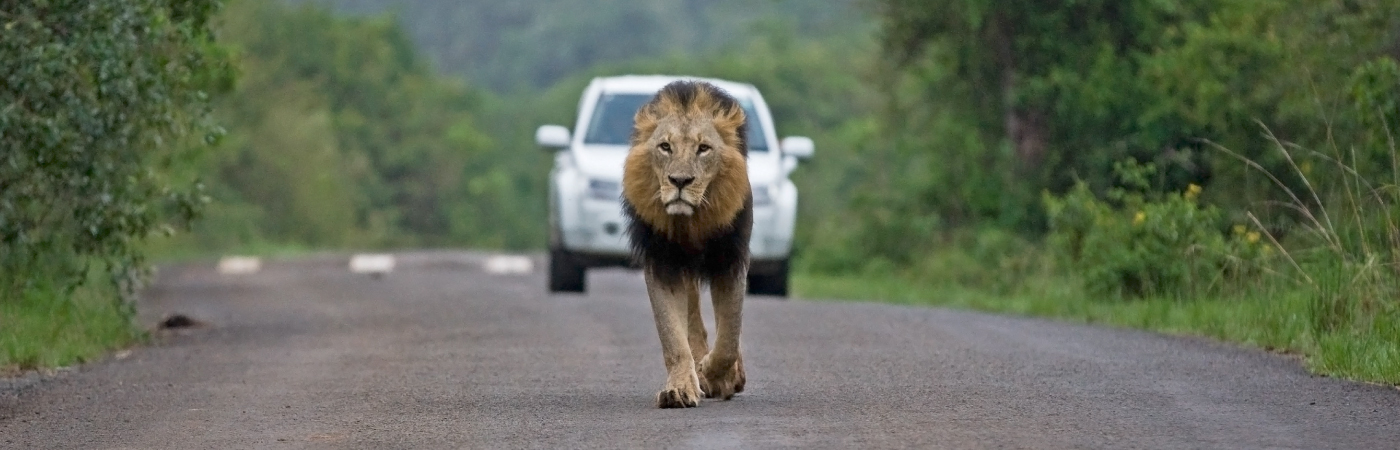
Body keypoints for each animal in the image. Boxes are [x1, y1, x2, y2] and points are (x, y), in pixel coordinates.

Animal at [621, 80, 752, 408]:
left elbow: (729, 336)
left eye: (703, 149)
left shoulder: (729, 259)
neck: (691, 222)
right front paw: (680, 389)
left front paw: (717, 374)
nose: (679, 181)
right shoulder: (663, 263)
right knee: (693, 320)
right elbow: (672, 336)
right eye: (665, 147)